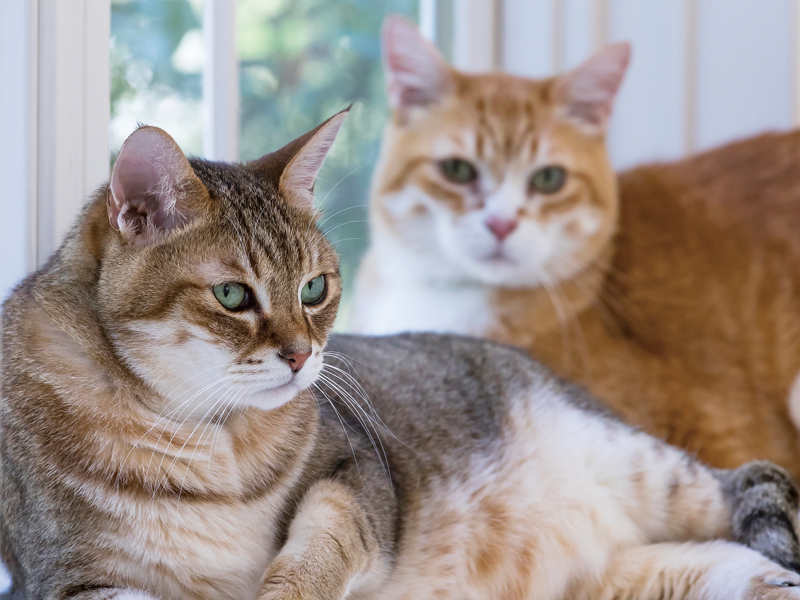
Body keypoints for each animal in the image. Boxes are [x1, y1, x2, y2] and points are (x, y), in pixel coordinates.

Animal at [4, 109, 800, 600]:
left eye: (315, 287)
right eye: (233, 295)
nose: (302, 356)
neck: (212, 438)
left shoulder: (357, 474)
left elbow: (321, 546)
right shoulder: (75, 577)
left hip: (641, 462)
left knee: (750, 481)